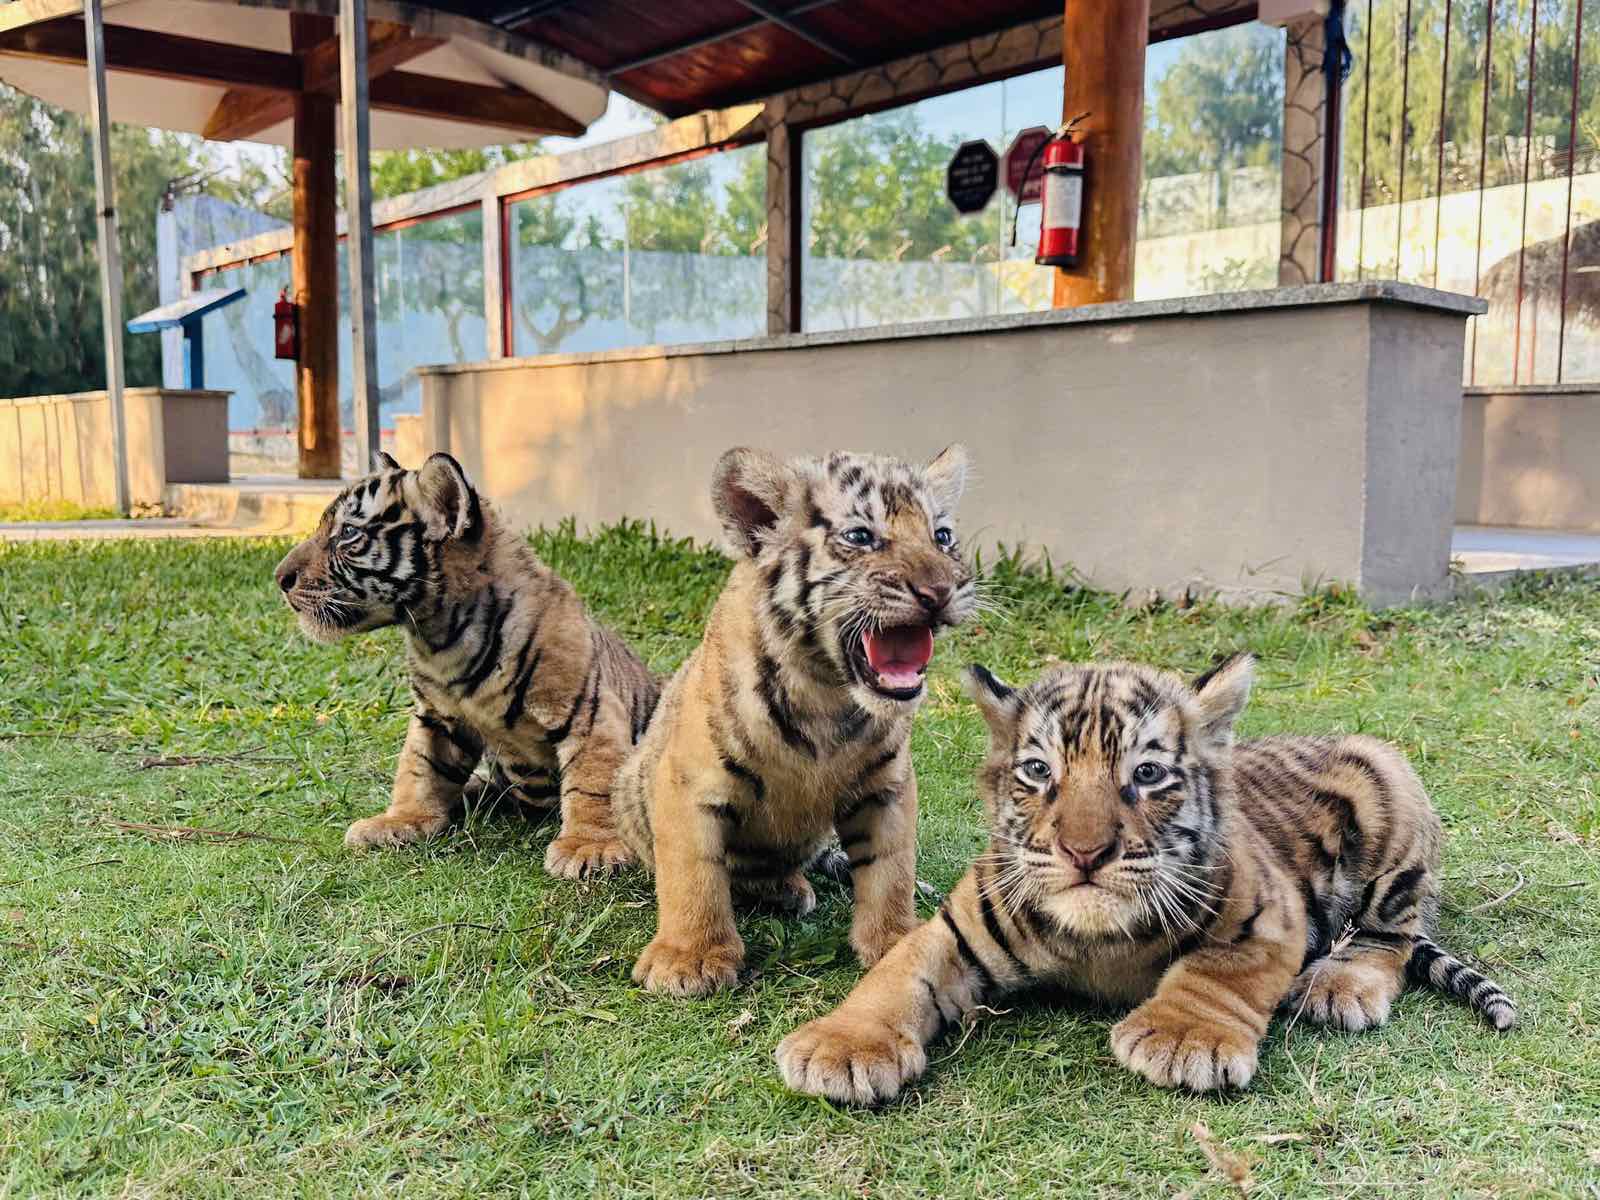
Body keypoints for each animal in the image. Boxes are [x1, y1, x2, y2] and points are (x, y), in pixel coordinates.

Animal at [273, 451, 660, 879]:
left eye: (347, 533)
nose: (279, 578)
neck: (440, 637)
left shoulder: (588, 712)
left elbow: (593, 781)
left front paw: (590, 847)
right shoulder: (436, 716)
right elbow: (419, 769)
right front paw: (400, 820)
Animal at [610, 445, 976, 997]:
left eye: (943, 536)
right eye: (860, 536)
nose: (941, 591)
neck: (827, 692)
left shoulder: (888, 785)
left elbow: (891, 868)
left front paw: (895, 942)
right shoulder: (688, 782)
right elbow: (693, 872)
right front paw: (690, 960)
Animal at [776, 653, 1516, 1103]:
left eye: (1148, 773)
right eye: (1039, 771)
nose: (1084, 852)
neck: (1095, 941)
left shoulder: (1270, 915)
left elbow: (1221, 971)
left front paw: (1184, 1038)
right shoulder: (954, 928)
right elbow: (895, 975)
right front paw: (840, 1046)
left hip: (1389, 786)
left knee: (1391, 934)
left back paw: (1340, 985)